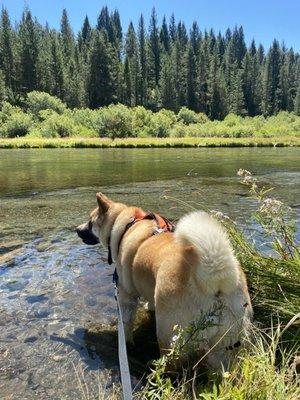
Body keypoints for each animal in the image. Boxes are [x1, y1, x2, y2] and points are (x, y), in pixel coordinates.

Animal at [76, 192, 252, 370]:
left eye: (90, 222)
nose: (77, 229)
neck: (129, 224)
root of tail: (213, 279)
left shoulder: (126, 296)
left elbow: (126, 325)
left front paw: (126, 341)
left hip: (169, 335)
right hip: (225, 345)